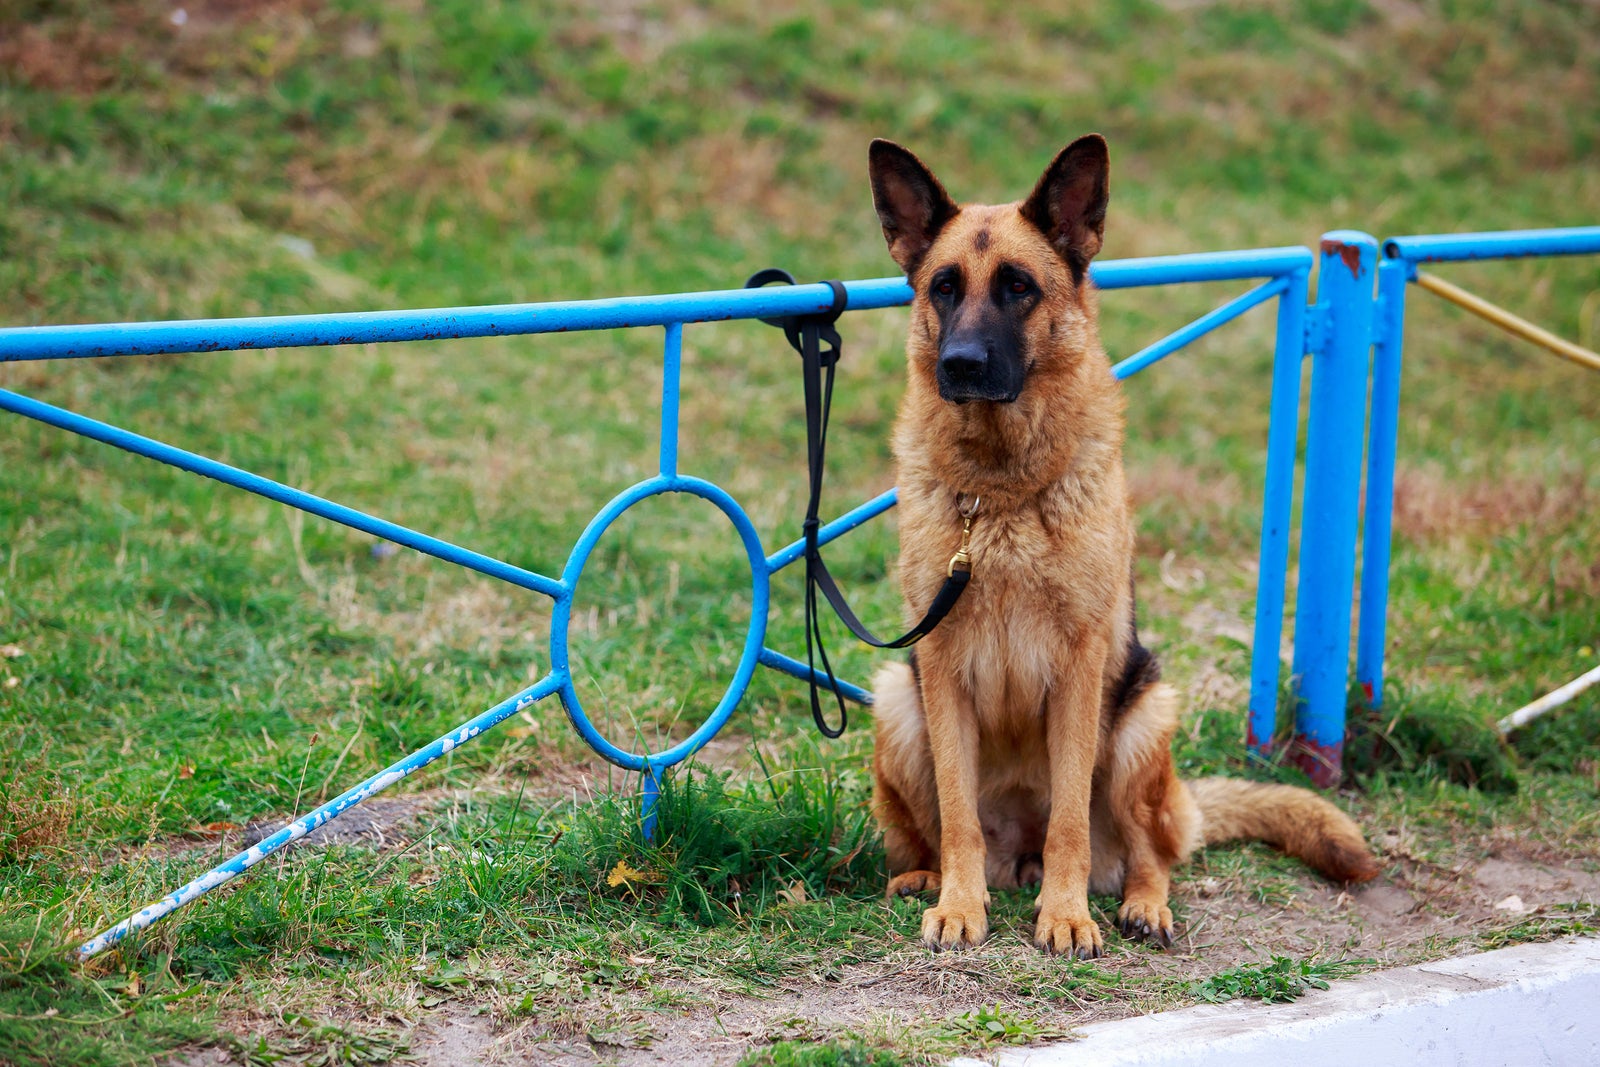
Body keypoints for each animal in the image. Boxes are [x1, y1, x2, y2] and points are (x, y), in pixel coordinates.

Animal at [864, 135, 1376, 959]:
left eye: (1017, 287)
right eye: (943, 288)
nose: (960, 365)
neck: (1001, 492)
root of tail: (1018, 854)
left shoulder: (1079, 669)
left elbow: (1071, 817)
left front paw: (1067, 914)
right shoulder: (937, 669)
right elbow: (960, 815)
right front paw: (960, 905)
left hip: (1143, 724)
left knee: (1151, 853)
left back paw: (1140, 905)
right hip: (898, 707)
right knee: (937, 832)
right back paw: (927, 878)